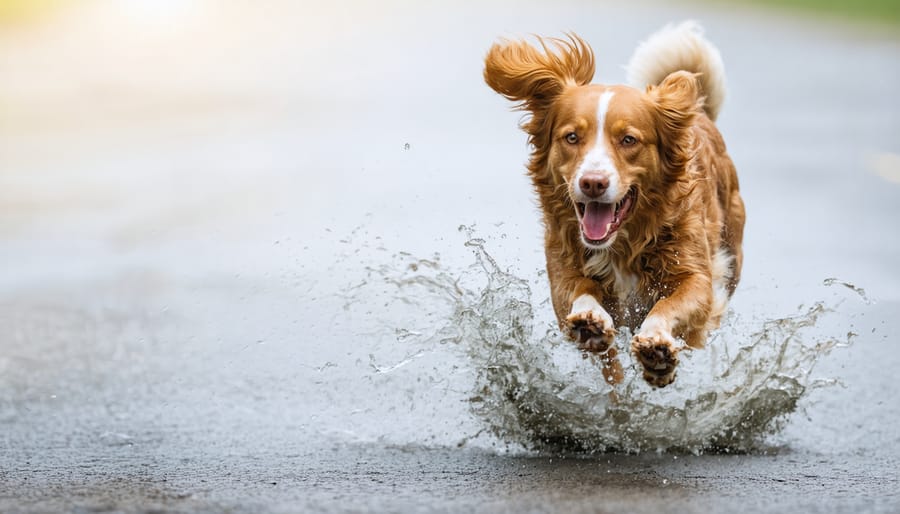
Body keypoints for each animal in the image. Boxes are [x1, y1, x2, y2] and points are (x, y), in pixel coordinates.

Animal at [486, 22, 744, 386]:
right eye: (571, 137)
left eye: (628, 140)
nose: (593, 183)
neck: (623, 245)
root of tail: (701, 113)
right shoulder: (562, 272)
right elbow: (581, 297)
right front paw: (590, 319)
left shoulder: (697, 278)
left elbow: (671, 305)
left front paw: (657, 348)